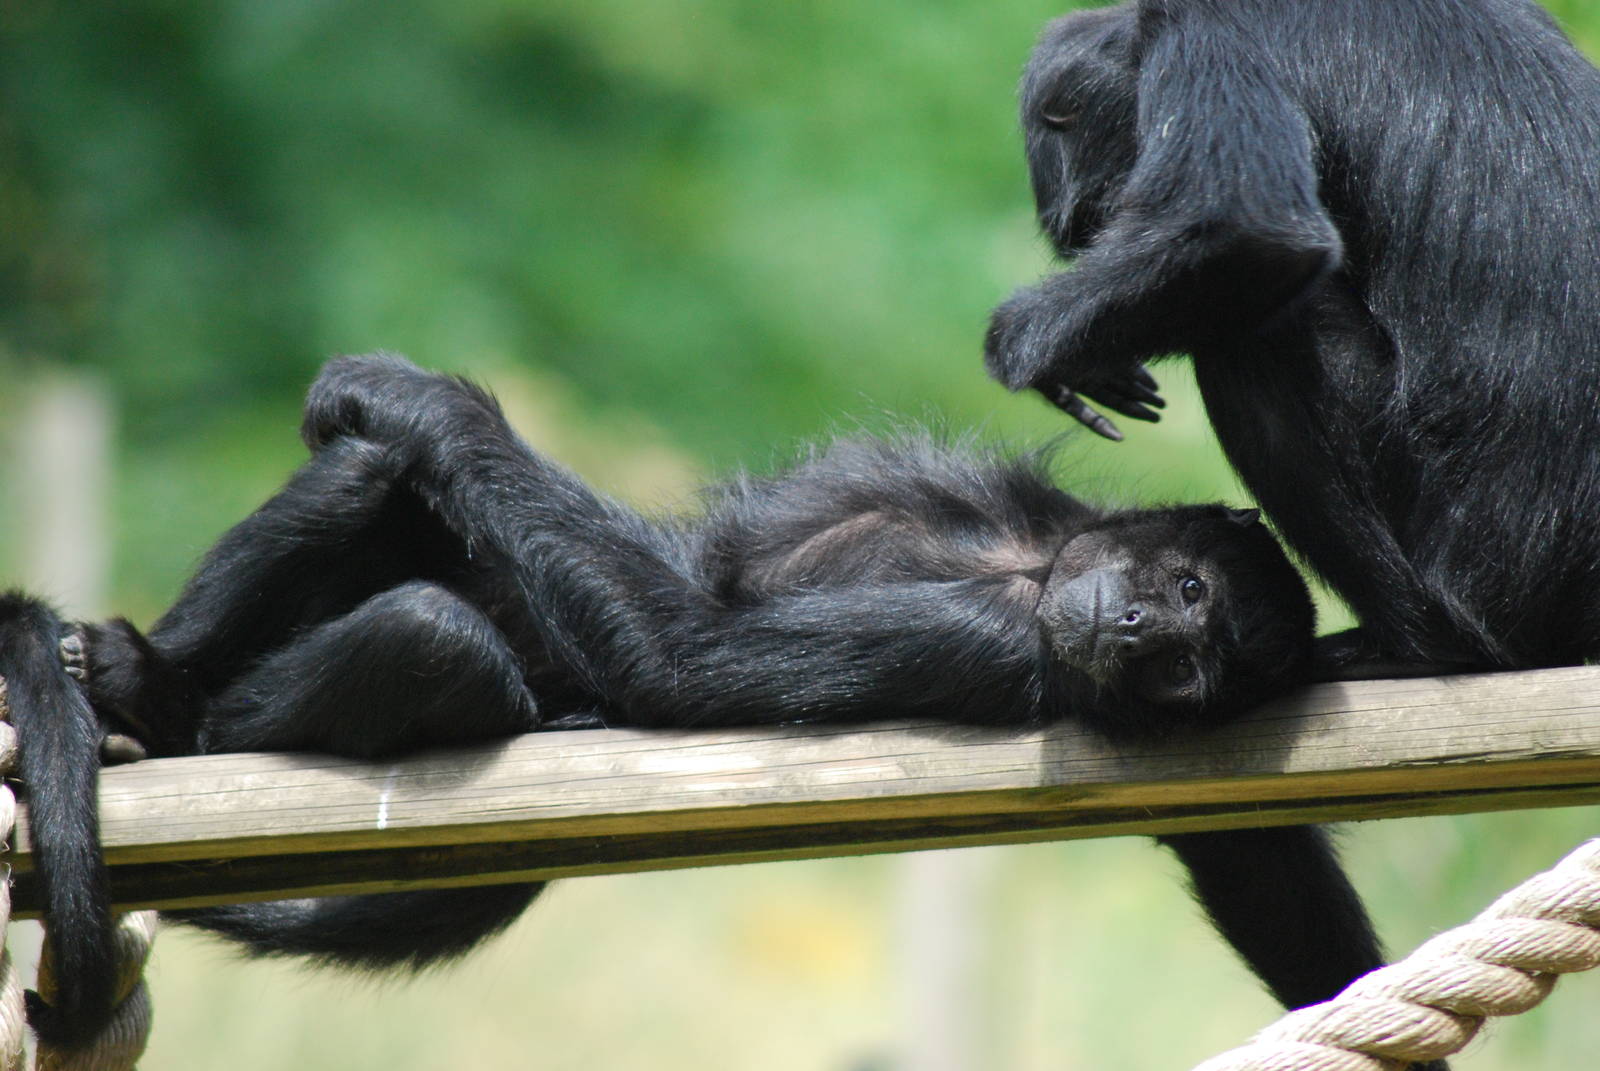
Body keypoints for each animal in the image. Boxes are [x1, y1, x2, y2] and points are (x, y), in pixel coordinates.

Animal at [3, 352, 1348, 1045]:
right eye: (1179, 594)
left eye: (1190, 664)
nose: (1139, 634)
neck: (1026, 567)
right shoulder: (994, 505)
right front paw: (396, 396)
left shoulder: (992, 643)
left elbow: (684, 649)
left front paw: (432, 398)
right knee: (373, 481)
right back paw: (142, 679)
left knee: (430, 634)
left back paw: (164, 716)